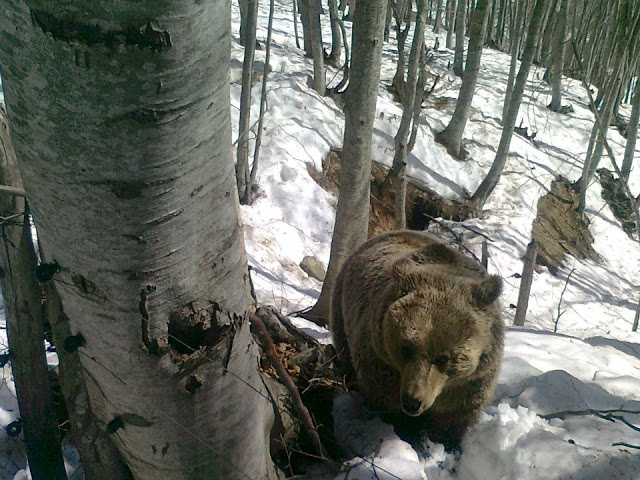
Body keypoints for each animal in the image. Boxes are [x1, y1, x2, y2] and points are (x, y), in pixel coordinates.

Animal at [330, 231, 504, 448]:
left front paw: (445, 443)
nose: (412, 402)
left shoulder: (471, 382)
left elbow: (453, 420)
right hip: (341, 310)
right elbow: (388, 405)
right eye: (406, 347)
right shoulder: (382, 365)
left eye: (445, 357)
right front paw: (406, 434)